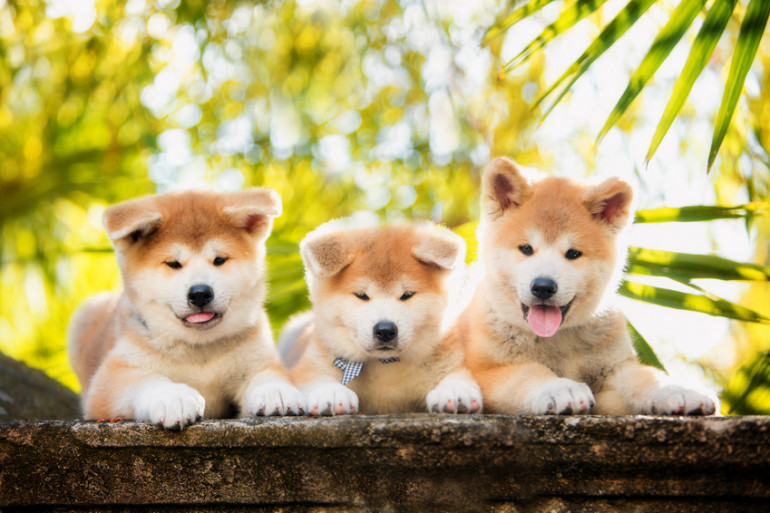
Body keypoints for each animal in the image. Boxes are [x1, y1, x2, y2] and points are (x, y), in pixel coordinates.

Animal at [67, 188, 304, 428]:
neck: (199, 350)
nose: (200, 293)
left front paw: (276, 391)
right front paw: (174, 398)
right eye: (173, 263)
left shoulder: (256, 360)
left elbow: (267, 374)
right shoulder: (111, 378)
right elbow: (150, 380)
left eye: (219, 260)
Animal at [276, 220, 480, 416]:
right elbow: (316, 379)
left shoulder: (454, 362)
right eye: (361, 295)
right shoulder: (309, 366)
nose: (385, 330)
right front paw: (332, 393)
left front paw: (455, 391)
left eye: (407, 295)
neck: (386, 367)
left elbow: (457, 377)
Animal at [460, 157, 716, 416]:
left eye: (573, 253)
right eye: (526, 248)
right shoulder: (487, 371)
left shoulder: (616, 369)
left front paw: (677, 390)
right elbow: (530, 373)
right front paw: (560, 388)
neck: (558, 343)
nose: (543, 287)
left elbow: (646, 377)